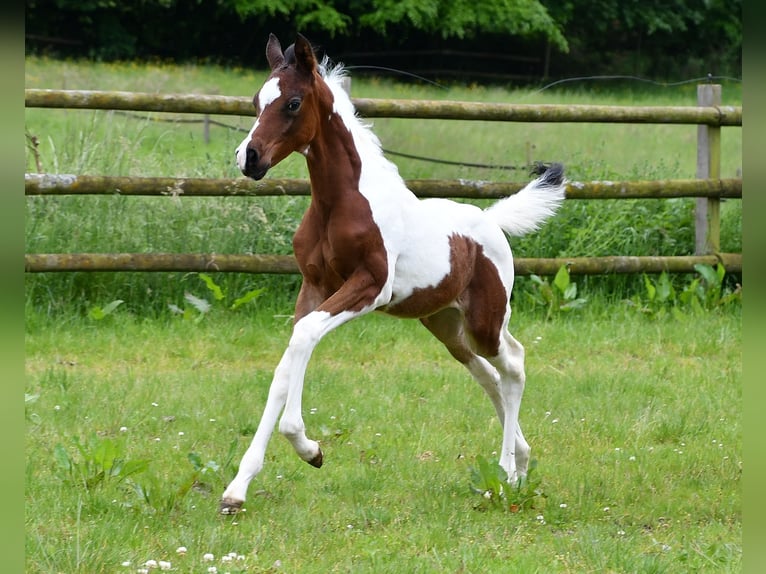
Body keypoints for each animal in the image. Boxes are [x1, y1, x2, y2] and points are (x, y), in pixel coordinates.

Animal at [219, 33, 568, 516]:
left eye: (292, 102)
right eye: (256, 101)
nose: (248, 158)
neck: (339, 204)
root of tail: (491, 221)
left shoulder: (370, 287)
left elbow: (304, 338)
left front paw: (310, 450)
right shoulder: (314, 287)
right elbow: (286, 364)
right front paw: (238, 488)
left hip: (485, 320)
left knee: (513, 365)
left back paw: (504, 475)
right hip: (445, 325)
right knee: (488, 376)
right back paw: (521, 463)